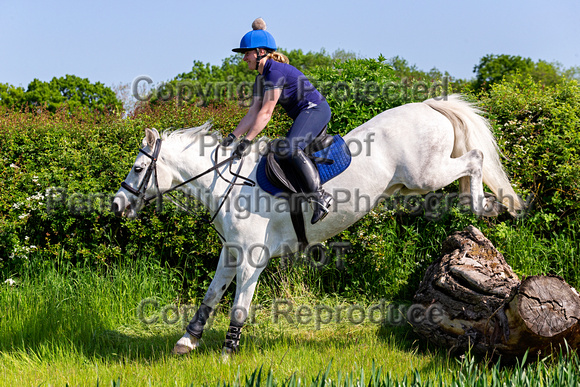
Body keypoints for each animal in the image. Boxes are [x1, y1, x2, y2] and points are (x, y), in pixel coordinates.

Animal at [112, 94, 520, 358]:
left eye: (137, 168)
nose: (117, 205)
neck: (225, 183)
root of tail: (427, 105)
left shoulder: (252, 258)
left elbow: (238, 307)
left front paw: (228, 354)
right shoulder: (231, 253)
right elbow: (211, 297)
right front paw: (187, 342)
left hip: (424, 174)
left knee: (474, 157)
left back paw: (482, 205)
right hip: (418, 180)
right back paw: (480, 204)